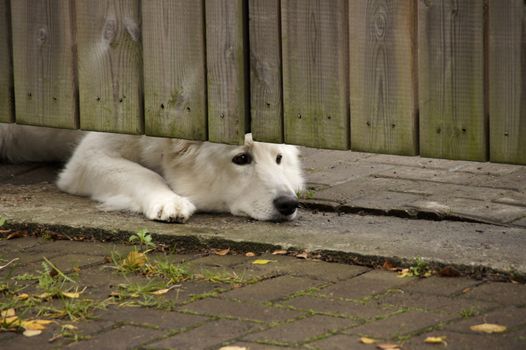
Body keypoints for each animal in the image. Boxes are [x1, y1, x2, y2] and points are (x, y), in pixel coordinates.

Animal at [1, 125, 306, 221]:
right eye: (241, 159)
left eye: (278, 159)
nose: (289, 204)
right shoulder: (88, 157)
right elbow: (143, 174)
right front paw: (168, 201)